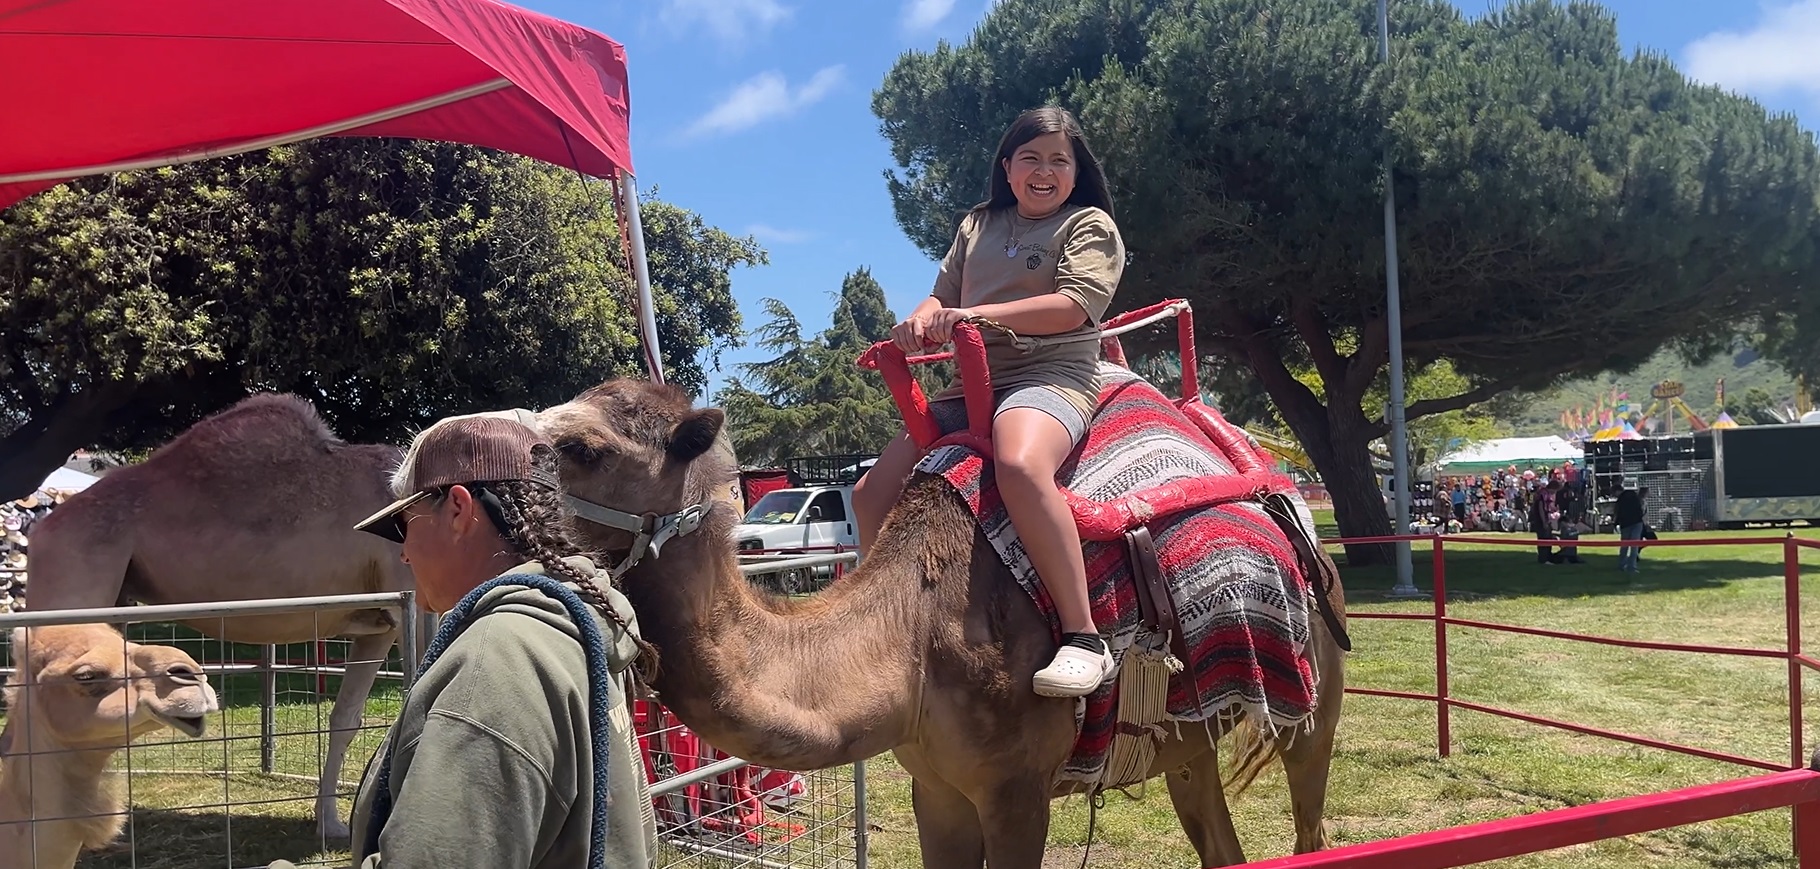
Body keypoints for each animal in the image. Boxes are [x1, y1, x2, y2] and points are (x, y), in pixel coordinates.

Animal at [453, 376, 1347, 867]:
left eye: (584, 446)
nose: (477, 483)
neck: (910, 639)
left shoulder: (1019, 789)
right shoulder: (935, 786)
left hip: (1316, 692)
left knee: (1309, 817)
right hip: (1186, 737)